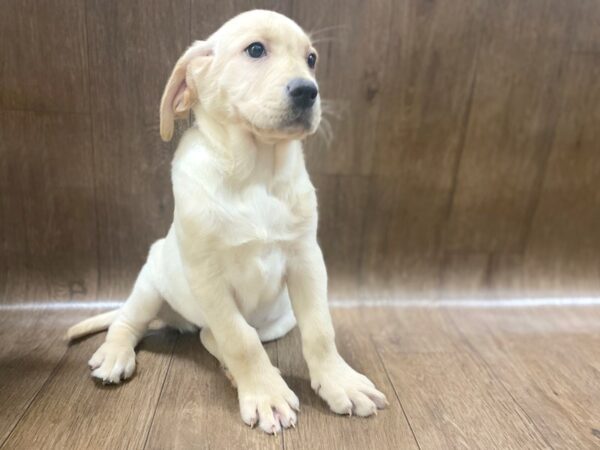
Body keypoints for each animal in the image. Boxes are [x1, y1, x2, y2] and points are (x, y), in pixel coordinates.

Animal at [68, 9, 386, 432]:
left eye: (311, 59)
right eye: (255, 50)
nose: (308, 91)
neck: (256, 174)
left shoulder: (307, 260)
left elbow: (320, 331)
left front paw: (340, 382)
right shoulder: (207, 276)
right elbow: (239, 340)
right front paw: (266, 394)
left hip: (277, 320)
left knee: (208, 335)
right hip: (152, 280)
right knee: (131, 322)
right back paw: (116, 354)